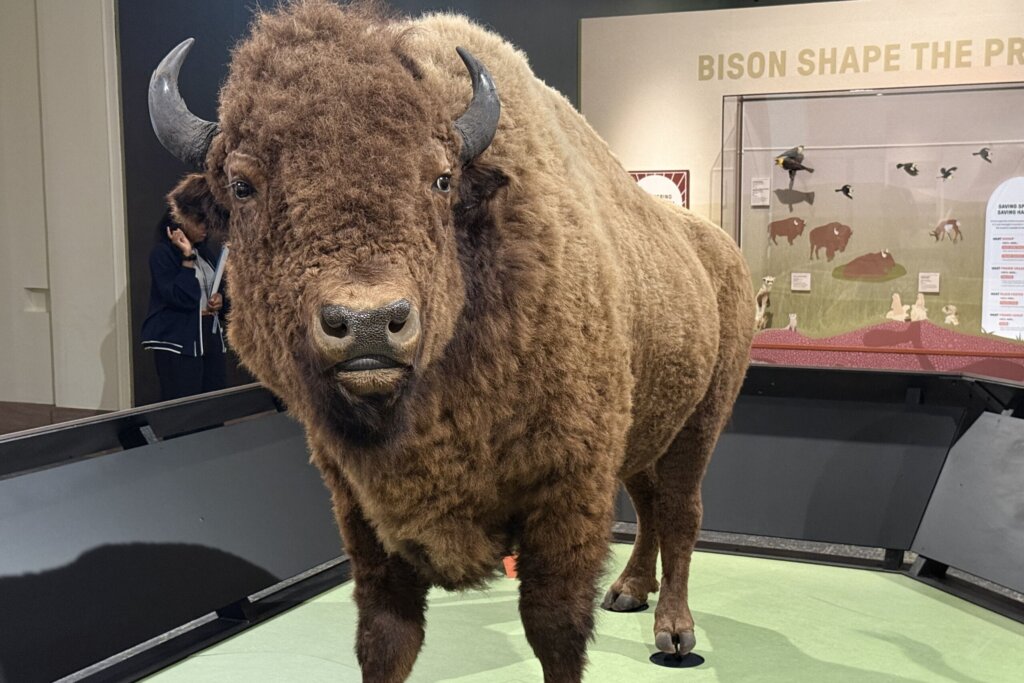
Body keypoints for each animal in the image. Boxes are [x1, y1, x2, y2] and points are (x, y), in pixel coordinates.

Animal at [148, 2, 754, 681]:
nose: (367, 322)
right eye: (242, 185)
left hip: (701, 422)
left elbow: (555, 631)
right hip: (651, 426)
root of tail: (718, 247)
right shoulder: (360, 509)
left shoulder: (569, 493)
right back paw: (627, 591)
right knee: (650, 504)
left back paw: (673, 630)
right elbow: (386, 636)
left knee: (679, 513)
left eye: (440, 179)